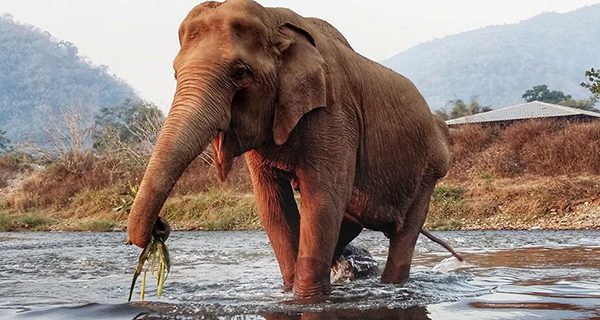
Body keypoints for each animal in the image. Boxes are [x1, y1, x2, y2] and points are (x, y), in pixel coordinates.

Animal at [126, 0, 452, 300]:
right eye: (175, 74)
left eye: (240, 73)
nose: (161, 226)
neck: (274, 21)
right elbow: (273, 205)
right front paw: (290, 291)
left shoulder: (334, 112)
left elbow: (321, 199)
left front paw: (308, 299)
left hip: (429, 171)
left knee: (402, 234)